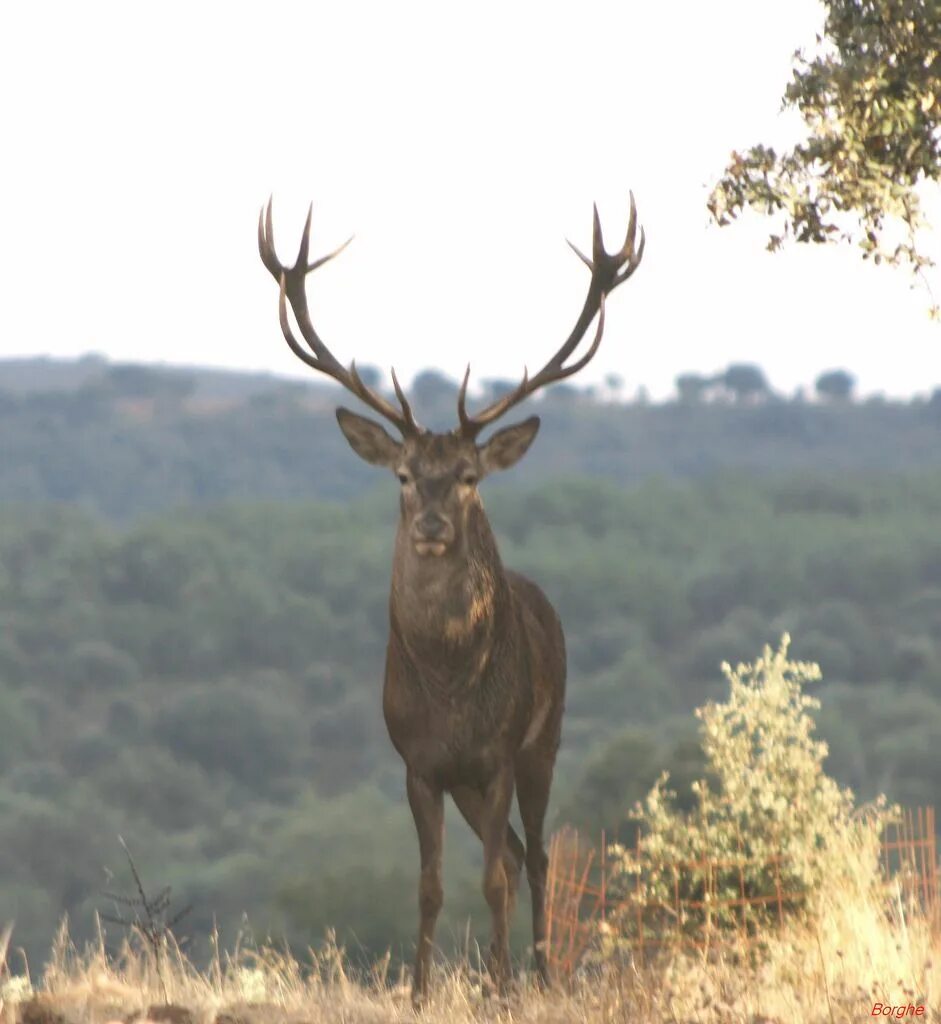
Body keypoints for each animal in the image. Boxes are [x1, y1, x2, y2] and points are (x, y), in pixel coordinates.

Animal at [255, 195, 638, 1003]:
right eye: (403, 474)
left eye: (467, 476)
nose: (431, 523)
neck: (450, 684)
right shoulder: (420, 763)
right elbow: (430, 884)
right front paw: (421, 989)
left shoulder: (495, 754)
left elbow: (491, 879)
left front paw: (502, 989)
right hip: (471, 781)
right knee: (517, 854)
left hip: (545, 740)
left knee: (535, 855)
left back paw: (536, 974)